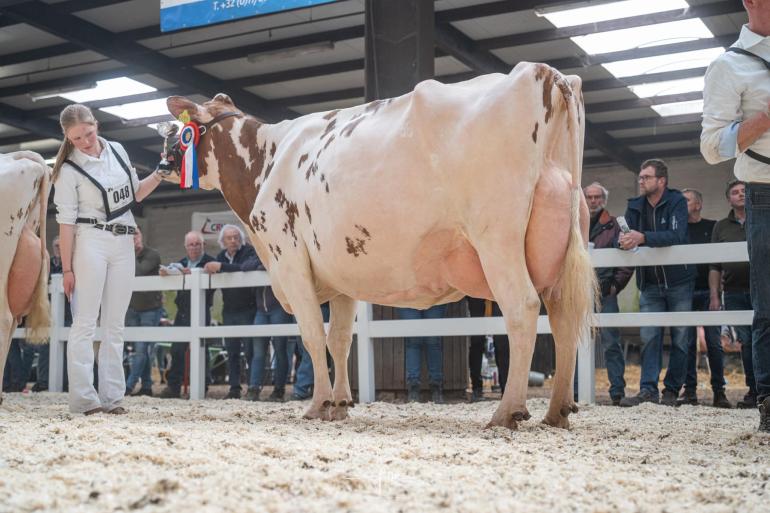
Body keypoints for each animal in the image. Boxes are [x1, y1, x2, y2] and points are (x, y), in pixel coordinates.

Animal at [162, 61, 592, 428]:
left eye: (181, 129)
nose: (163, 160)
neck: (266, 159)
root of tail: (543, 72)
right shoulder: (339, 276)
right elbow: (339, 340)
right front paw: (340, 405)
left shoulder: (289, 258)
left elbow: (312, 335)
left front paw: (317, 405)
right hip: (565, 241)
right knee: (564, 316)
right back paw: (557, 411)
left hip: (497, 238)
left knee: (522, 308)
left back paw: (507, 412)